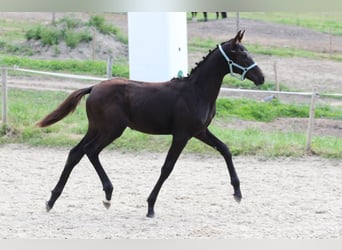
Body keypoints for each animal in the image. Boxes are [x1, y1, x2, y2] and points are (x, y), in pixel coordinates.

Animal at [38, 30, 266, 218]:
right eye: (243, 55)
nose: (262, 78)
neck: (197, 92)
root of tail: (93, 88)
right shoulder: (182, 134)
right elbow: (167, 168)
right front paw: (150, 206)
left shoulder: (200, 131)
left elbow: (225, 150)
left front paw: (237, 193)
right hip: (111, 130)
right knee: (90, 151)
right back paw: (107, 195)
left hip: (96, 128)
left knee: (76, 152)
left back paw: (52, 200)